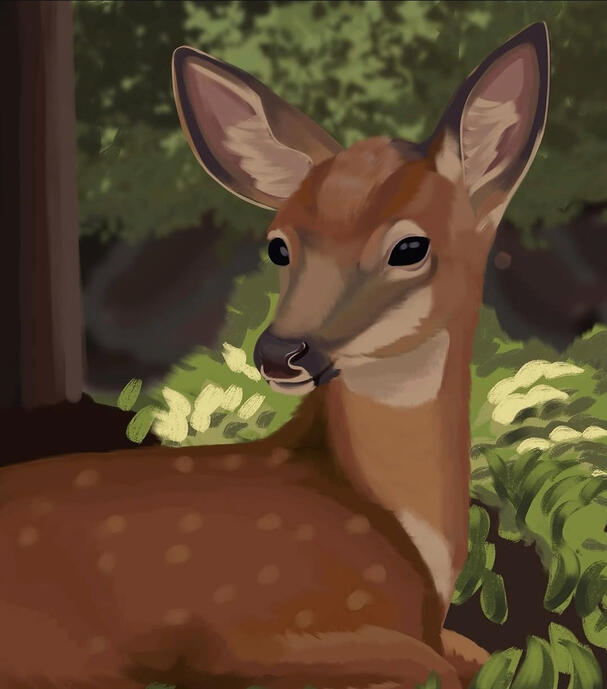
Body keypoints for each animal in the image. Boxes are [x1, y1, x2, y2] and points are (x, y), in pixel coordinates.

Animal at [0, 22, 549, 689]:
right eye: (279, 246)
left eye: (410, 247)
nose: (281, 352)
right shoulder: (237, 632)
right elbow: (437, 667)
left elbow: (475, 654)